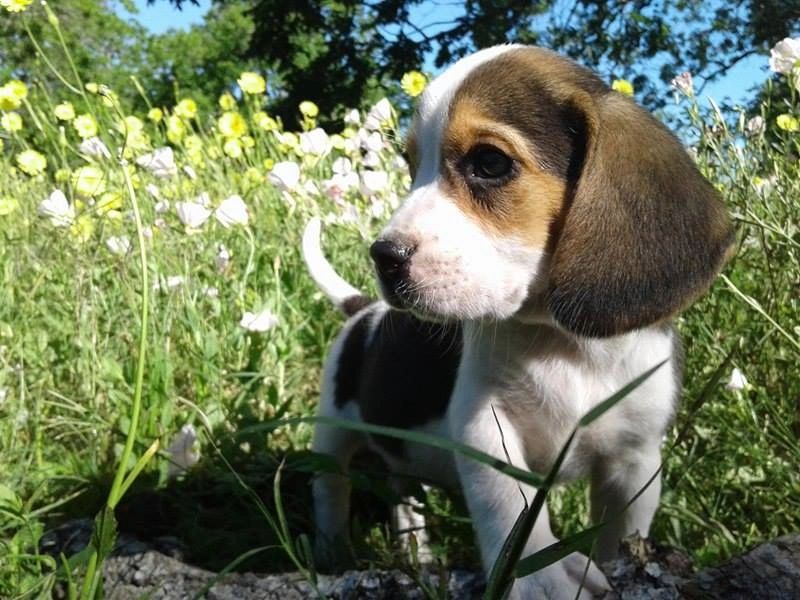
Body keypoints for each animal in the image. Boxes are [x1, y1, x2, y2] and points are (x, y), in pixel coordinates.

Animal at [304, 45, 736, 600]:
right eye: (411, 164)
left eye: (490, 163)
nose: (383, 256)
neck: (563, 343)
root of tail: (363, 311)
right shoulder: (484, 426)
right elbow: (509, 505)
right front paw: (540, 577)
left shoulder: (635, 459)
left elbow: (622, 530)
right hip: (331, 429)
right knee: (329, 488)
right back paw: (331, 552)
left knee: (404, 498)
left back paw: (415, 553)